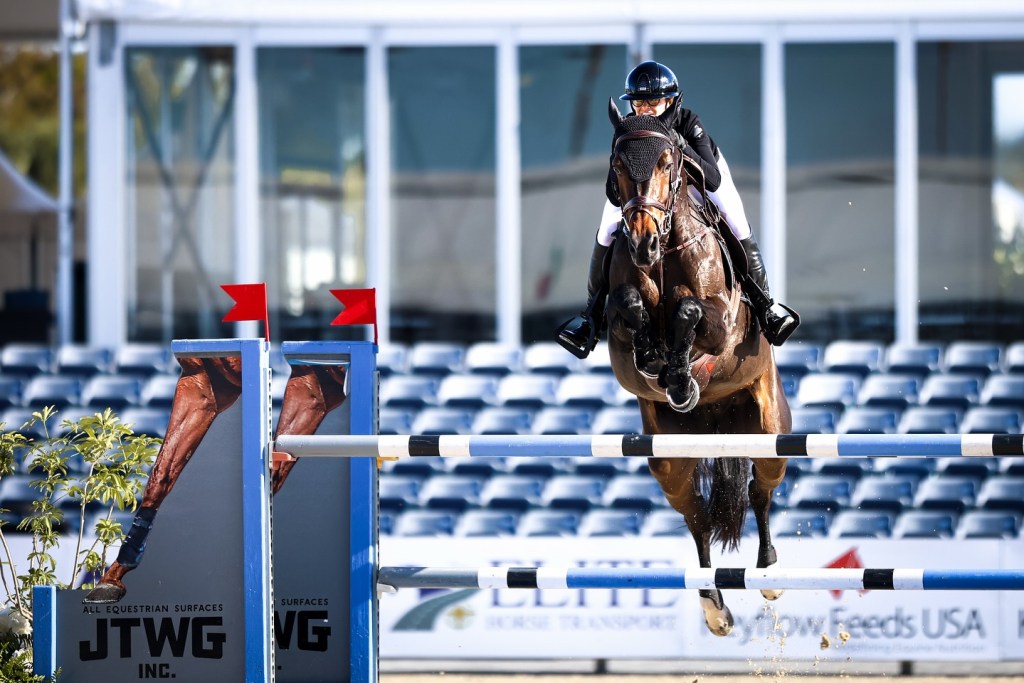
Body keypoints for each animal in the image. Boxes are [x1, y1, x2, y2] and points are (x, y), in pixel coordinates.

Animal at [603, 99, 791, 636]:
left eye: (669, 163)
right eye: (617, 166)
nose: (643, 244)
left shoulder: (724, 325)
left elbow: (691, 313)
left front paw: (678, 370)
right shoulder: (618, 333)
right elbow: (629, 308)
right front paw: (659, 360)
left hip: (769, 431)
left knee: (759, 491)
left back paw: (769, 574)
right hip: (669, 458)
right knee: (698, 518)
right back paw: (713, 605)